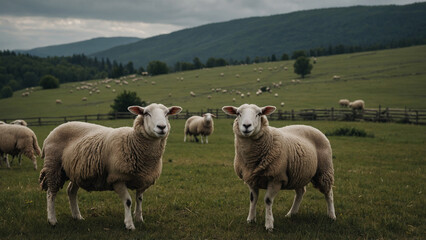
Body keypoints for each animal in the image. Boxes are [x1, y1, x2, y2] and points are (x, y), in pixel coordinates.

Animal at [37, 103, 181, 231]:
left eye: (167, 113)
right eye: (146, 113)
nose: (162, 127)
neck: (132, 142)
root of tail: (55, 129)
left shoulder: (143, 179)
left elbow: (139, 199)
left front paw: (140, 219)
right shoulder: (117, 178)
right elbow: (128, 201)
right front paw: (129, 225)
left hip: (76, 171)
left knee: (71, 191)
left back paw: (77, 217)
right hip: (53, 165)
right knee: (51, 193)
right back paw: (52, 220)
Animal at [223, 104, 336, 232]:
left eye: (259, 114)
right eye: (238, 113)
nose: (246, 126)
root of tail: (312, 127)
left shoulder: (276, 178)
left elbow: (267, 200)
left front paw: (269, 225)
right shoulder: (251, 179)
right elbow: (253, 199)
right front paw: (250, 220)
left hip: (324, 170)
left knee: (329, 193)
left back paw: (332, 216)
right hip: (298, 174)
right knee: (300, 192)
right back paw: (291, 214)